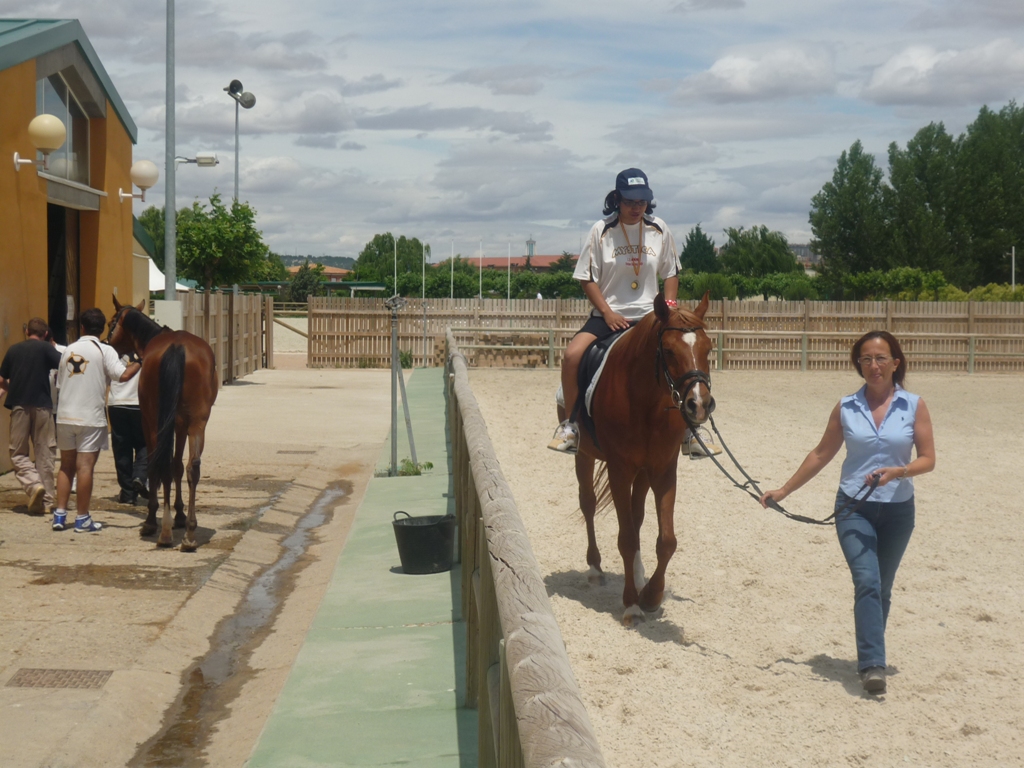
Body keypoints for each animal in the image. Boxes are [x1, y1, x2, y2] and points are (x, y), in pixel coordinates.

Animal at [107, 296, 217, 548]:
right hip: (197, 423)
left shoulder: (150, 423)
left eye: (111, 322)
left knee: (160, 464)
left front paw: (154, 520)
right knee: (192, 467)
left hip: (156, 421)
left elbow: (158, 466)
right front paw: (180, 516)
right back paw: (189, 533)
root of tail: (177, 348)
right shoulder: (181, 425)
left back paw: (163, 530)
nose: (106, 342)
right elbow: (177, 466)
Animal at [557, 292, 716, 626]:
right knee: (588, 503)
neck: (645, 401)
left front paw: (652, 595)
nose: (699, 404)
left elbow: (666, 540)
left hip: (643, 472)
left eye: (708, 348)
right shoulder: (619, 470)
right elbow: (626, 539)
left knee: (636, 515)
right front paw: (631, 604)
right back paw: (595, 570)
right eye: (668, 350)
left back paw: (640, 576)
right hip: (586, 457)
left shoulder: (663, 469)